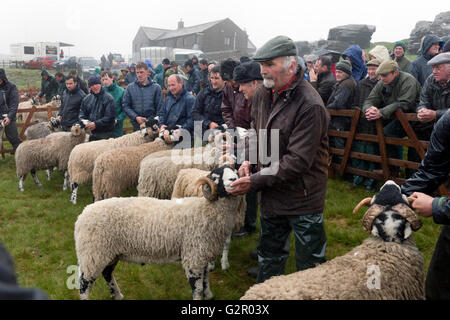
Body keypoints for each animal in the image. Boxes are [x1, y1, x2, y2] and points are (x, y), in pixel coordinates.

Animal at [75, 165, 248, 300]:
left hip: (109, 252)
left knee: (107, 273)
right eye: (216, 176)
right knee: (84, 283)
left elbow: (206, 281)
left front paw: (210, 295)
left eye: (236, 172)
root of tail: (82, 214)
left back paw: (117, 295)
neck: (206, 210)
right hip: (93, 253)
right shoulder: (193, 257)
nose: (233, 180)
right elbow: (198, 289)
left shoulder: (203, 256)